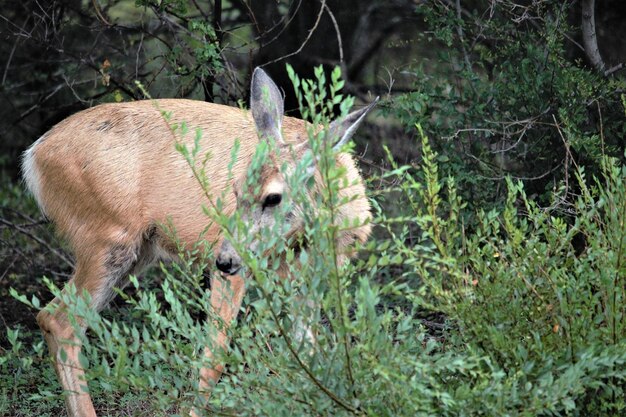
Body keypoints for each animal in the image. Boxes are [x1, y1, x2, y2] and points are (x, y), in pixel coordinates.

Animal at [22, 66, 376, 414]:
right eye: (236, 190)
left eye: (273, 197)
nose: (225, 258)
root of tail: (33, 155)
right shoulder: (236, 275)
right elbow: (214, 358)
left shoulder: (310, 278)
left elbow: (309, 354)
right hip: (105, 237)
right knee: (59, 320)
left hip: (137, 252)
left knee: (58, 319)